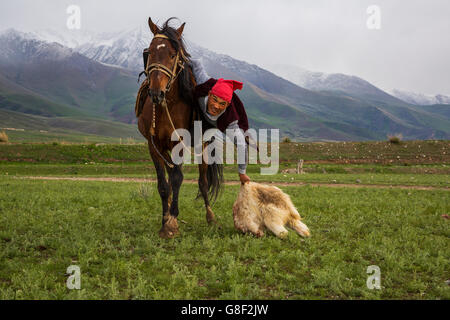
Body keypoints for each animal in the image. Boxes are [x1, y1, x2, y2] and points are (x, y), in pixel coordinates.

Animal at [136, 16, 222, 238]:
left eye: (173, 54)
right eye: (149, 52)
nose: (155, 92)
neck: (168, 103)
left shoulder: (179, 143)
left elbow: (177, 179)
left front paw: (172, 222)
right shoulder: (153, 145)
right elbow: (163, 184)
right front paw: (164, 220)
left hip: (202, 145)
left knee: (203, 181)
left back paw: (210, 216)